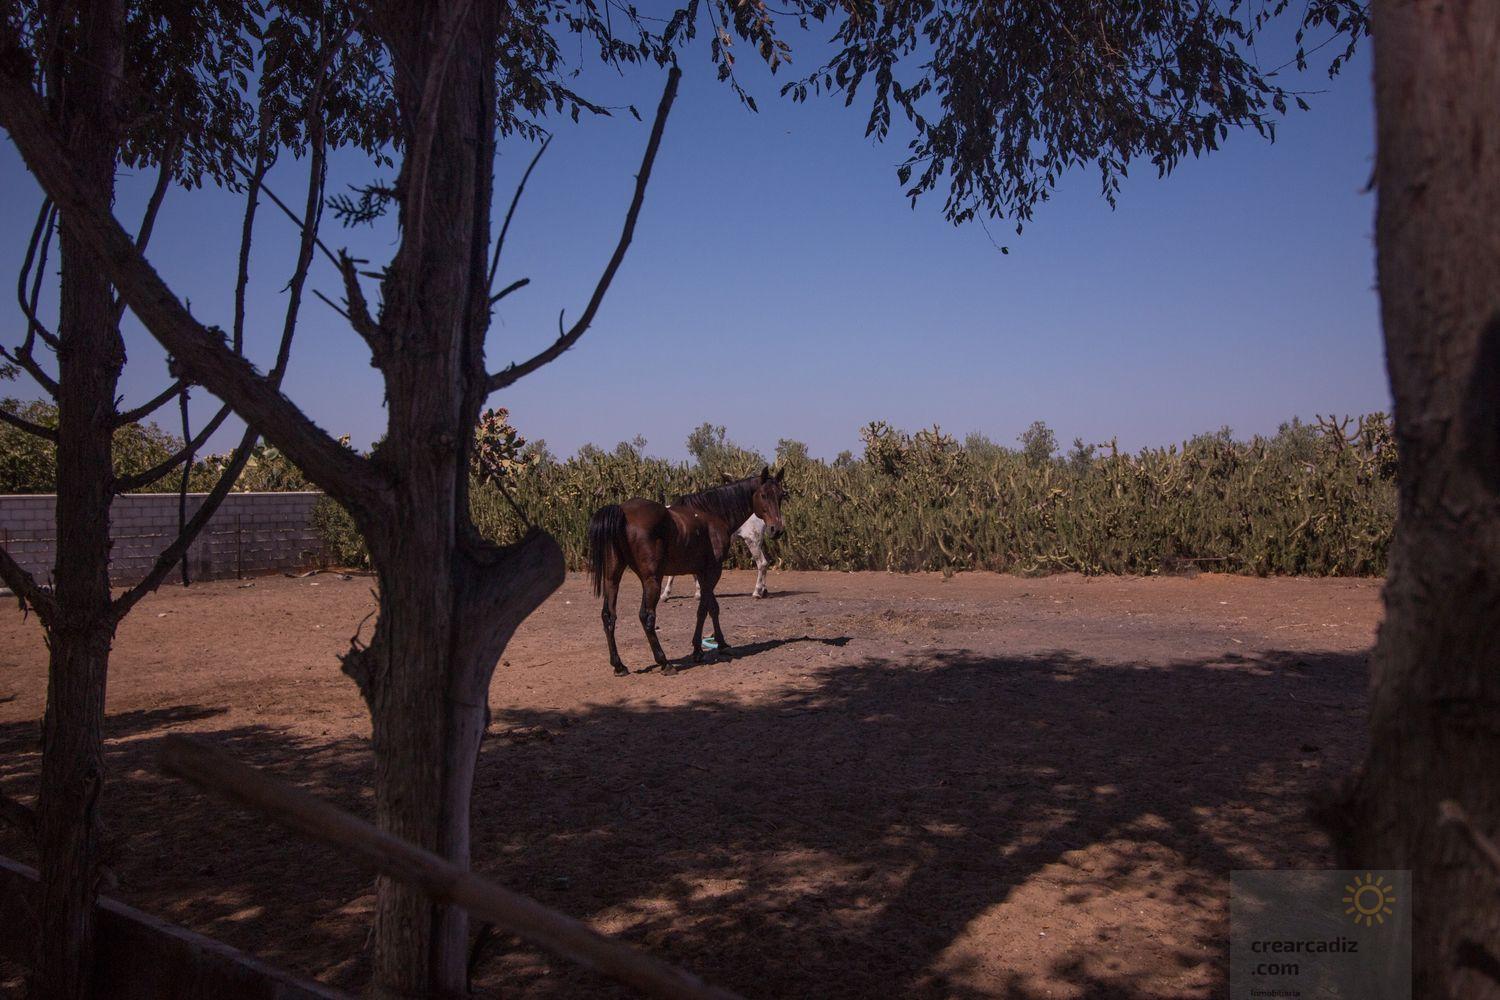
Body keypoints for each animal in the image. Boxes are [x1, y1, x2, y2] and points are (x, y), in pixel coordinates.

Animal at [588, 467, 792, 671]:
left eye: (781, 495)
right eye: (764, 495)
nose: (776, 529)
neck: (713, 513)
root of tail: (622, 511)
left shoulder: (703, 572)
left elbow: (712, 607)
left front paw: (721, 644)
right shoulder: (713, 571)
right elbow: (703, 609)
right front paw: (698, 650)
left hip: (612, 578)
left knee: (608, 616)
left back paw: (619, 665)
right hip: (651, 580)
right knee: (646, 617)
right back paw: (664, 662)